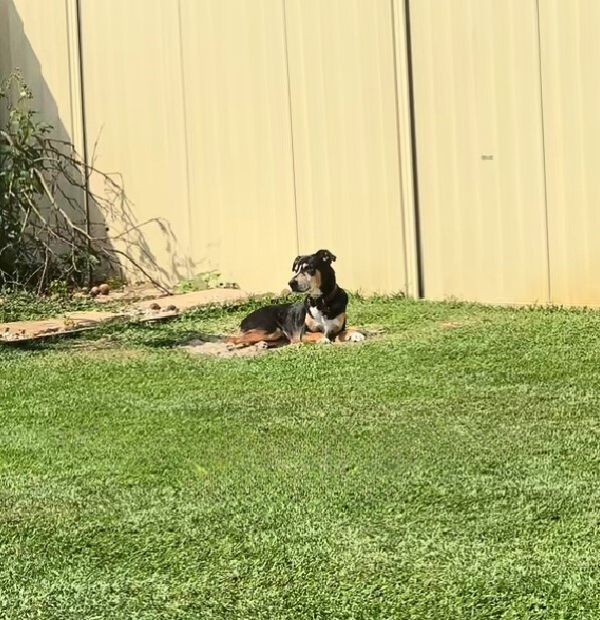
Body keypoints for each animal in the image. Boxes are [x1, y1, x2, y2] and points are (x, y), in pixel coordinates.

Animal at [226, 252, 364, 348]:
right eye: (296, 270)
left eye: (308, 268)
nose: (291, 283)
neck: (321, 302)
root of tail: (246, 318)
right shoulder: (305, 333)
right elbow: (319, 334)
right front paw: (323, 339)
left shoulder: (336, 329)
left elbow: (345, 330)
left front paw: (356, 334)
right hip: (271, 330)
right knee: (235, 338)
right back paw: (230, 345)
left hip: (276, 335)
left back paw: (262, 344)